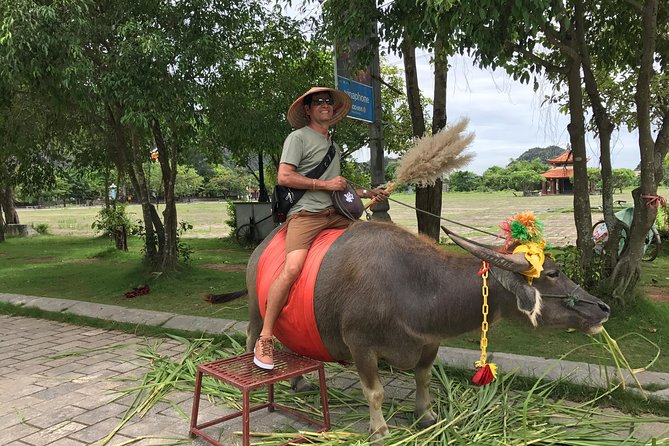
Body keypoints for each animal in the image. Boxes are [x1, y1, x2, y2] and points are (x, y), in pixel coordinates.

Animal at [224, 220, 612, 442]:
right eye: (553, 273)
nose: (603, 309)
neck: (413, 285)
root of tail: (261, 247)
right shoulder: (360, 344)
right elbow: (375, 392)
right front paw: (379, 430)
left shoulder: (429, 342)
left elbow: (423, 376)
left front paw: (425, 415)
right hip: (258, 311)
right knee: (254, 337)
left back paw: (299, 382)